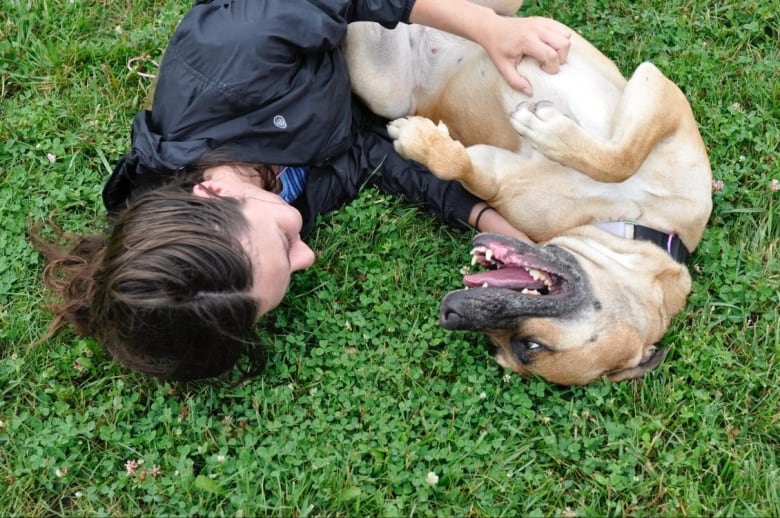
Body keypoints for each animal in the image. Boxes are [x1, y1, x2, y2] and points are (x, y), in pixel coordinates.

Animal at [346, 1, 712, 386]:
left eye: (527, 346)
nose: (450, 312)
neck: (628, 218)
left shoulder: (496, 173)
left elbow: (459, 165)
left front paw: (422, 142)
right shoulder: (660, 90)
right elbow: (622, 157)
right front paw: (549, 130)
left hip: (381, 83)